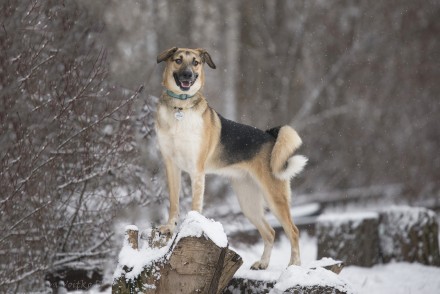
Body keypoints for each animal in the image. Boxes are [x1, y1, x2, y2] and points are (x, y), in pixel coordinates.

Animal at [156, 46, 308, 268]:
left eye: (195, 63)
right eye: (178, 60)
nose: (188, 76)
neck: (180, 109)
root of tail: (271, 136)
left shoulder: (196, 171)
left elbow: (195, 206)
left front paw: (190, 228)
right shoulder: (171, 166)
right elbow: (174, 204)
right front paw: (169, 228)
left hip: (274, 197)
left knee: (293, 231)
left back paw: (294, 265)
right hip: (248, 201)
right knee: (270, 232)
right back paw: (263, 263)